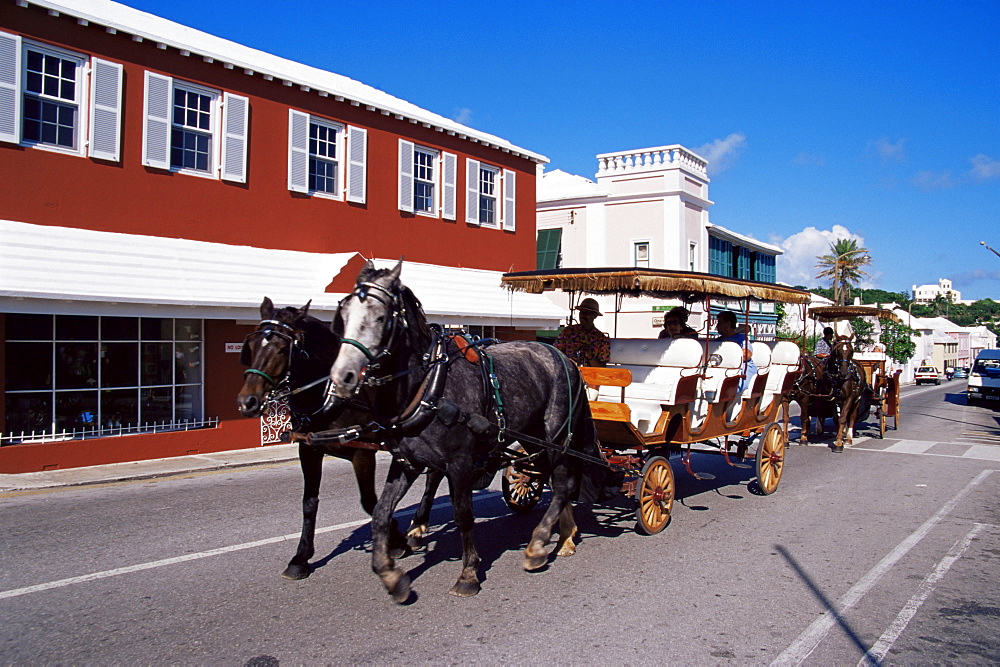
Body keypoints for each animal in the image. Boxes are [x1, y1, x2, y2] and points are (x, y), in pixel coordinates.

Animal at [234, 300, 442, 580]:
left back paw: (417, 526)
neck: (329, 392)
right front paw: (300, 558)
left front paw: (395, 541)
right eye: (253, 344)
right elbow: (309, 503)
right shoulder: (308, 448)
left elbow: (370, 502)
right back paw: (418, 526)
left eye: (282, 349)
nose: (247, 402)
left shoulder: (362, 452)